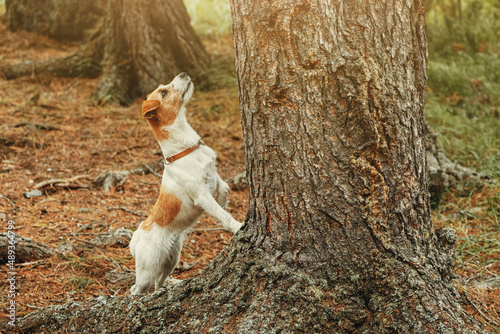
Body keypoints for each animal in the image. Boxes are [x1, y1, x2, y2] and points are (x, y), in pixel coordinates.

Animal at [130, 72, 243, 294]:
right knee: (136, 289)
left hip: (171, 259)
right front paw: (237, 226)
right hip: (147, 270)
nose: (182, 73)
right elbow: (223, 216)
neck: (185, 148)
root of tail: (139, 234)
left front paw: (225, 202)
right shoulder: (202, 195)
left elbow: (224, 187)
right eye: (164, 93)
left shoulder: (213, 175)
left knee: (159, 281)